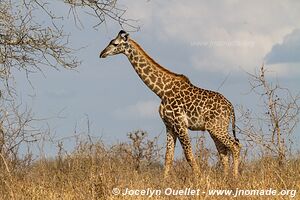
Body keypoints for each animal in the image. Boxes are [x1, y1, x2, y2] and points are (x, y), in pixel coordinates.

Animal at [99, 30, 243, 178]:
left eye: (115, 43)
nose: (102, 53)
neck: (161, 91)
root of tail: (231, 107)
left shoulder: (180, 124)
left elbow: (188, 155)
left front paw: (199, 179)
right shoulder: (169, 125)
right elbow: (168, 157)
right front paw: (164, 181)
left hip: (216, 127)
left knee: (235, 145)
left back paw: (234, 177)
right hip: (215, 128)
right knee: (224, 152)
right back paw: (225, 177)